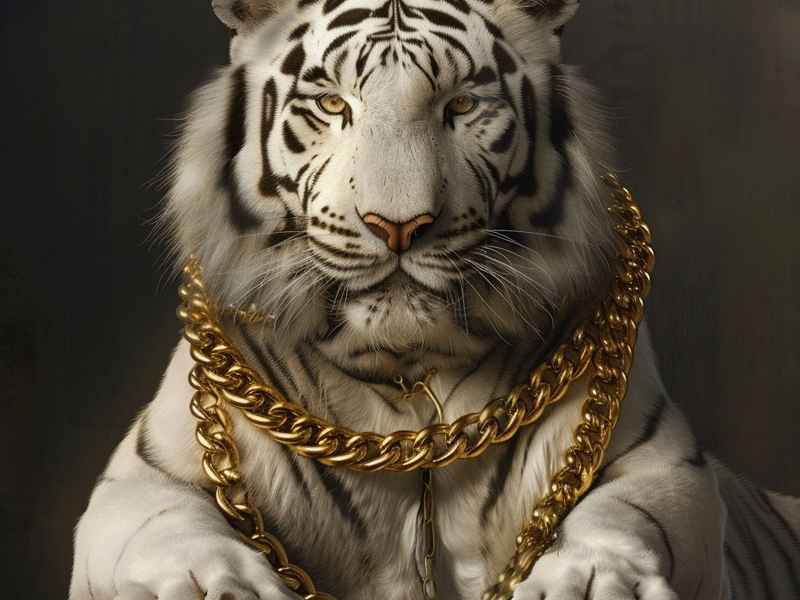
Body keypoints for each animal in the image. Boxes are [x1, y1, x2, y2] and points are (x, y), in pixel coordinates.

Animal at [69, 0, 800, 599]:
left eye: (462, 107)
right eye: (332, 105)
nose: (398, 226)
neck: (406, 378)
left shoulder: (663, 464)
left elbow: (625, 519)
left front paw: (593, 580)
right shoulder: (142, 478)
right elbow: (170, 530)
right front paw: (212, 585)